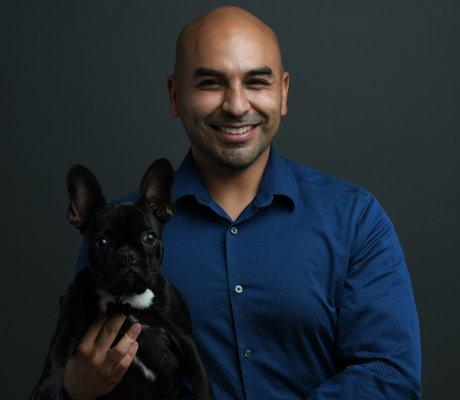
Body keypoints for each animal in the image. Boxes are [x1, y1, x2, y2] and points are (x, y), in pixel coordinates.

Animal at [30, 159, 214, 400]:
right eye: (102, 242)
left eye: (149, 238)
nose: (127, 254)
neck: (124, 297)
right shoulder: (68, 324)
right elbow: (56, 355)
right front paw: (46, 389)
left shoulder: (183, 336)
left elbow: (199, 372)